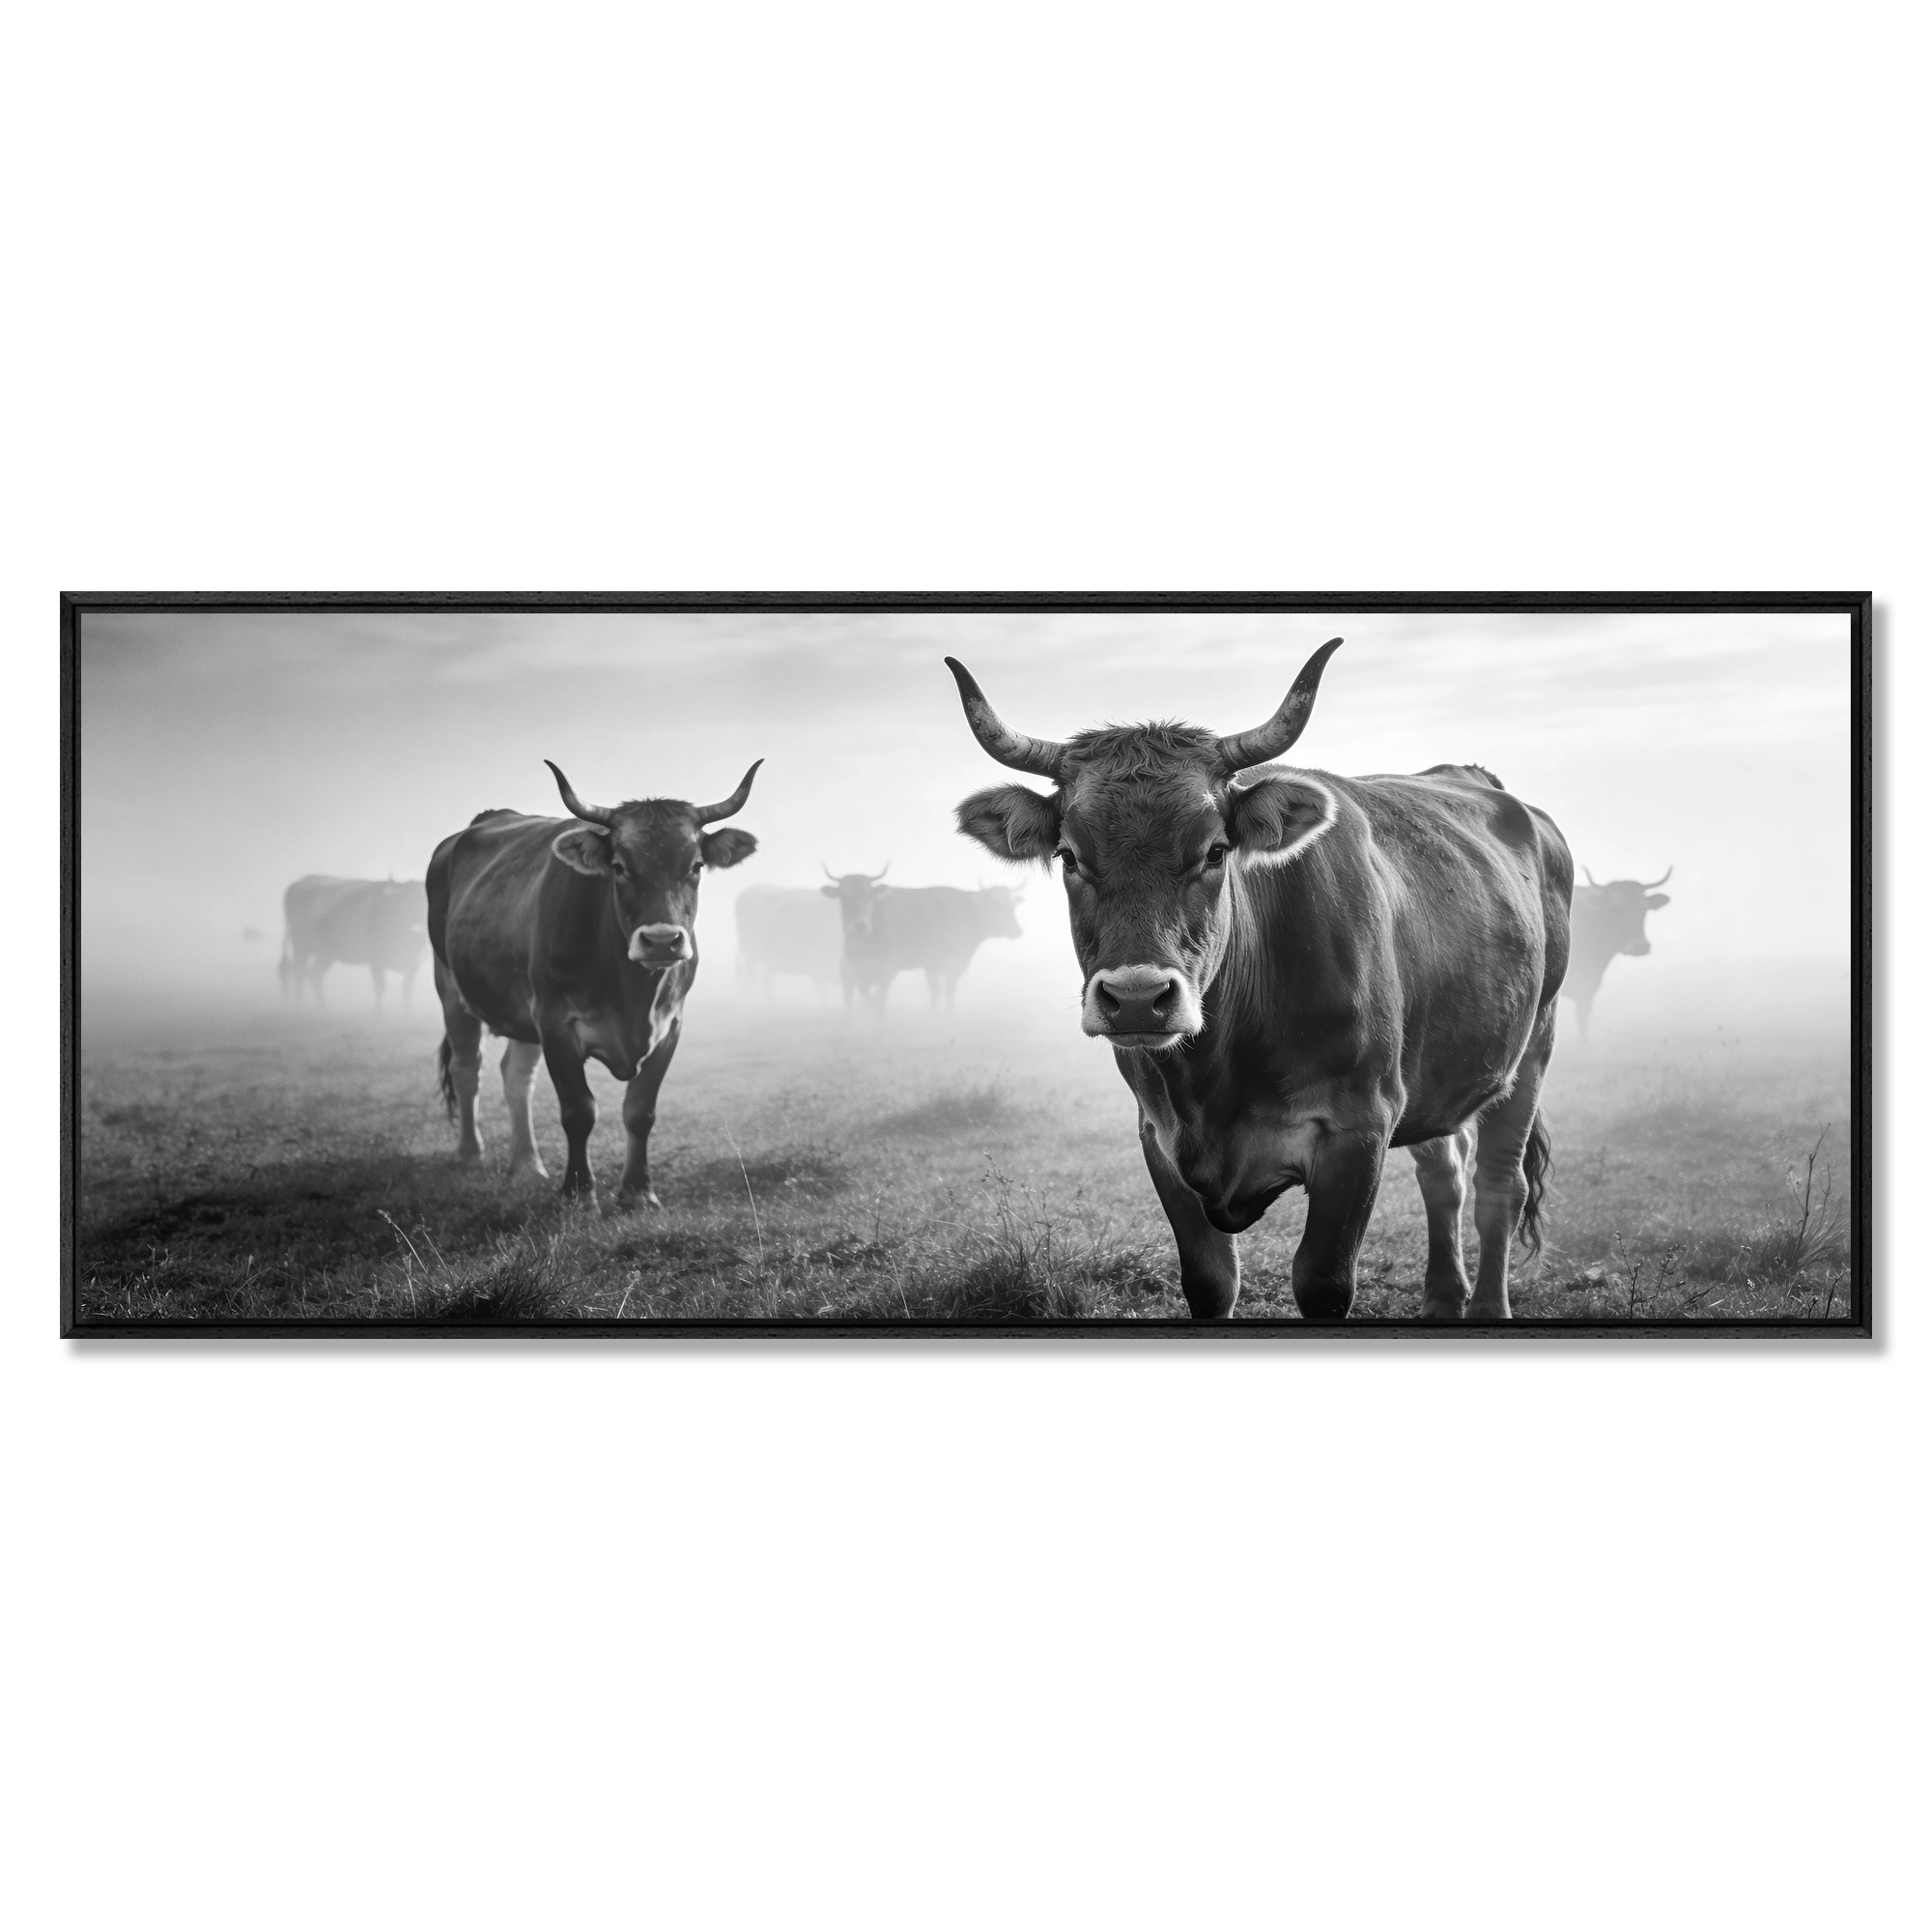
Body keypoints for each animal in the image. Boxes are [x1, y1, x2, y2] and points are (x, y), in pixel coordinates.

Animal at [279, 876, 429, 1012]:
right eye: (406, 899)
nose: (419, 925)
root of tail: (298, 883)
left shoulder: (415, 963)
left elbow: (407, 988)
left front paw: (406, 1012)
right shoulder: (376, 959)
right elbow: (380, 986)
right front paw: (377, 1013)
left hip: (325, 953)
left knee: (314, 975)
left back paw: (323, 1008)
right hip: (301, 947)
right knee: (299, 974)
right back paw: (301, 1005)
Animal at [426, 757, 761, 1204]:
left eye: (696, 866)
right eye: (618, 866)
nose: (661, 940)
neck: (632, 994)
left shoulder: (669, 1028)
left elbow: (640, 1112)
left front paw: (638, 1192)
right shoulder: (557, 1026)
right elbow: (579, 1111)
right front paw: (579, 1190)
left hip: (521, 1009)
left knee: (516, 1077)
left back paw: (528, 1165)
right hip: (450, 988)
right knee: (468, 1068)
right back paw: (469, 1154)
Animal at [947, 639, 1573, 1321]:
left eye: (1216, 850)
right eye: (1069, 856)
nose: (1137, 1000)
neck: (1218, 1074)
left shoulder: (1359, 1130)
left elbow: (1323, 1282)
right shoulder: (1160, 1139)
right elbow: (1211, 1281)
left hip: (1532, 1049)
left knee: (1498, 1187)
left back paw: (1486, 1303)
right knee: (1445, 1175)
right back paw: (1441, 1298)